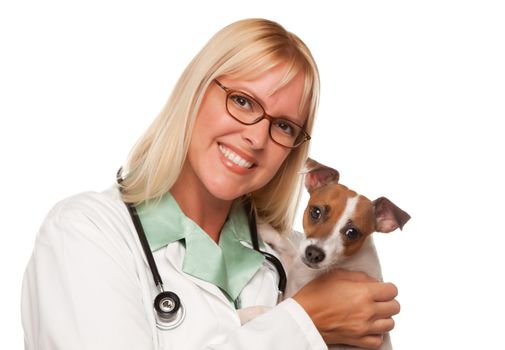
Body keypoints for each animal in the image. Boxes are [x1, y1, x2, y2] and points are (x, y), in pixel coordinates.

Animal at [237, 160, 410, 350]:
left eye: (352, 233)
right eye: (316, 212)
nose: (314, 254)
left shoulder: (291, 296)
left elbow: (267, 311)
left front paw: (242, 314)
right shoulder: (296, 266)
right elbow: (287, 245)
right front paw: (263, 226)